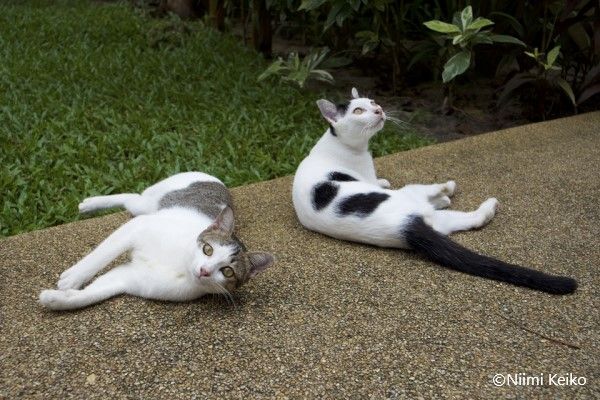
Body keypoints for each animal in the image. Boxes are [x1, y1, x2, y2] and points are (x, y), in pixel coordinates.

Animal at [39, 172, 274, 310]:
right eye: (208, 249)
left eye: (227, 271)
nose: (204, 271)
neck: (181, 265)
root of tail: (214, 177)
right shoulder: (138, 227)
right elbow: (101, 255)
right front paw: (73, 278)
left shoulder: (130, 278)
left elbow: (94, 293)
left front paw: (57, 299)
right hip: (147, 205)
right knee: (131, 198)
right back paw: (91, 203)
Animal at [292, 88, 577, 295]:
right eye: (359, 110)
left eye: (372, 101)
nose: (379, 109)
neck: (341, 144)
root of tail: (405, 227)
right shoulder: (366, 174)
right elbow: (377, 180)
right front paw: (443, 189)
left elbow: (378, 180)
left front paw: (383, 181)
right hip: (411, 195)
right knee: (467, 213)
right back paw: (469, 198)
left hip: (437, 222)